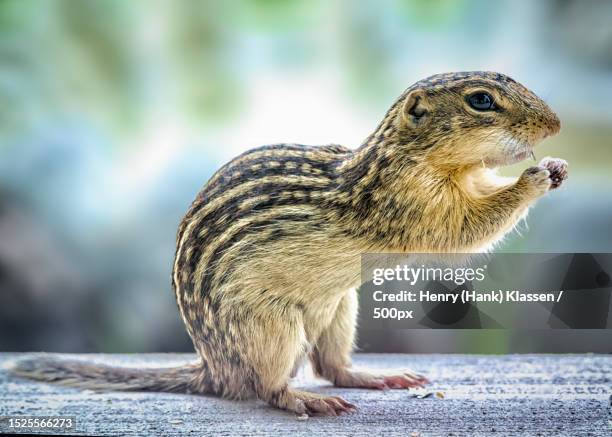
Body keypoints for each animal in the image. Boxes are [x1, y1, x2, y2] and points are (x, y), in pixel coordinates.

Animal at [11, 71, 564, 416]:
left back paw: (377, 377)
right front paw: (535, 178)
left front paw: (554, 166)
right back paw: (305, 401)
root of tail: (214, 370)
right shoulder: (415, 207)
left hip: (340, 310)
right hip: (271, 329)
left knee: (331, 366)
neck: (409, 158)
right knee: (269, 387)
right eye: (481, 100)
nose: (555, 125)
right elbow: (467, 230)